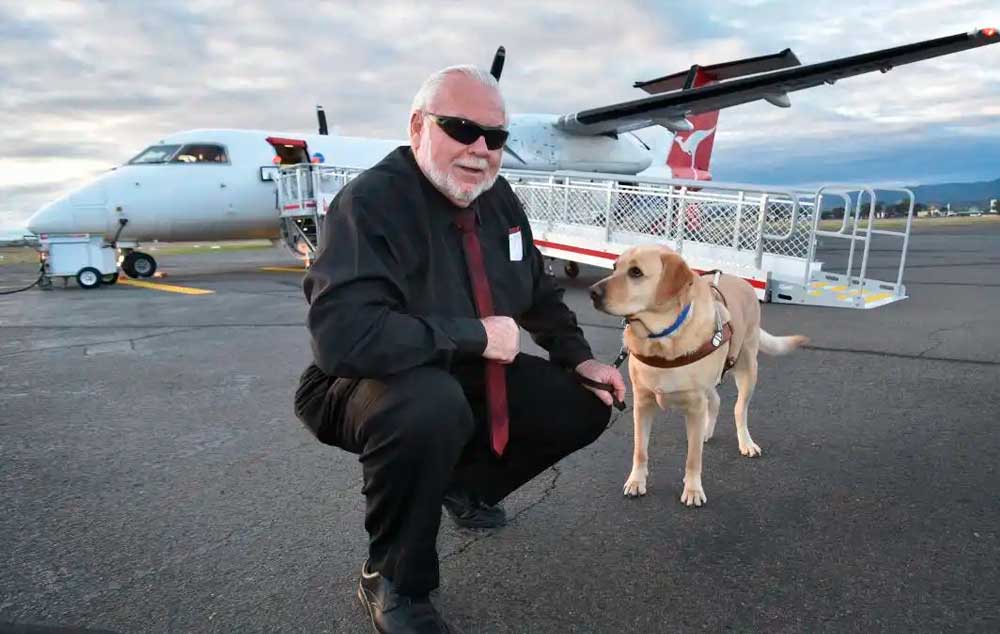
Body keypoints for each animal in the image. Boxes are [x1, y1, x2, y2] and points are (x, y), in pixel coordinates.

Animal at [588, 244, 808, 506]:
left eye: (636, 272)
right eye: (614, 267)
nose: (592, 292)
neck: (663, 339)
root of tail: (743, 281)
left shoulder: (694, 406)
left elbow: (693, 458)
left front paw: (693, 490)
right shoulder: (642, 403)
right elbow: (640, 450)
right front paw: (636, 481)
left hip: (747, 369)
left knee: (739, 409)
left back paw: (745, 442)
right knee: (716, 400)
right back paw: (706, 431)